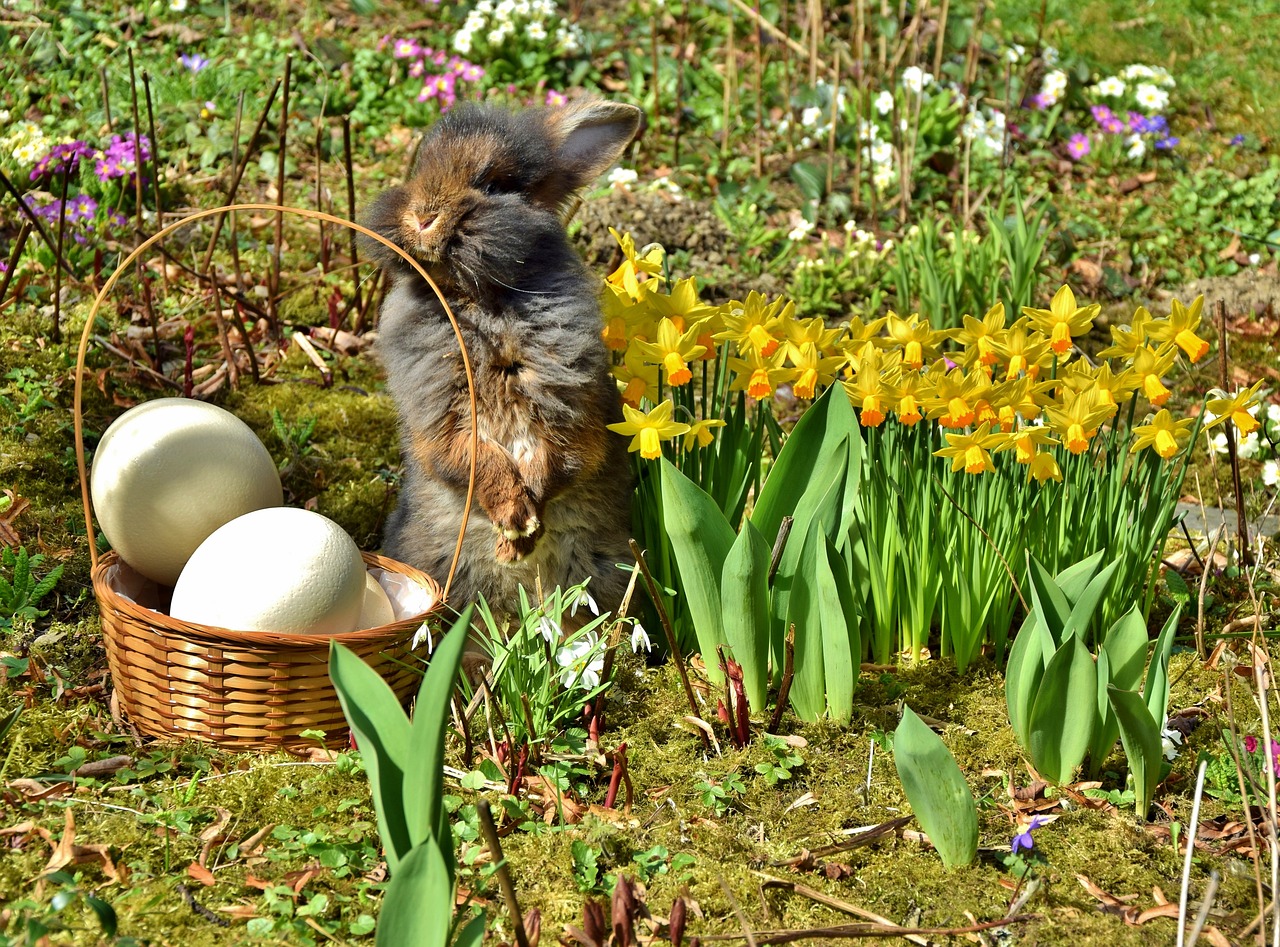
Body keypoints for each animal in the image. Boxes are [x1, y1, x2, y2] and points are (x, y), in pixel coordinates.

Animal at [360, 97, 640, 629]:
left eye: (496, 185)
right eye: (419, 169)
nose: (423, 218)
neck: (479, 300)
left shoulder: (570, 411)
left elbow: (554, 461)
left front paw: (523, 531)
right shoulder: (443, 420)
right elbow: (474, 461)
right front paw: (515, 523)